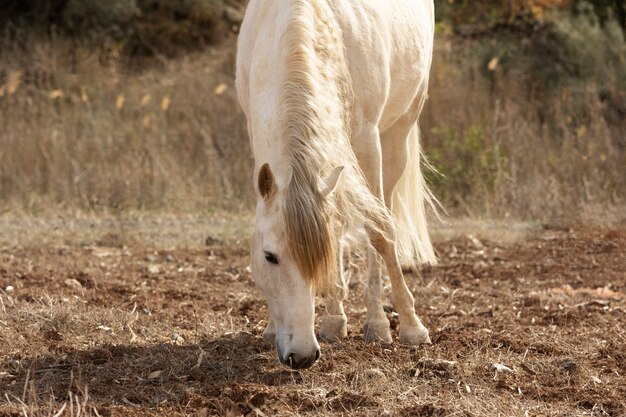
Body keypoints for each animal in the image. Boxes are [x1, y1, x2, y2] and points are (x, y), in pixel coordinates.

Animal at [236, 0, 436, 368]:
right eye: (269, 256)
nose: (302, 355)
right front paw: (274, 327)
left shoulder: (367, 141)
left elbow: (379, 231)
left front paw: (399, 327)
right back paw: (334, 318)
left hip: (398, 133)